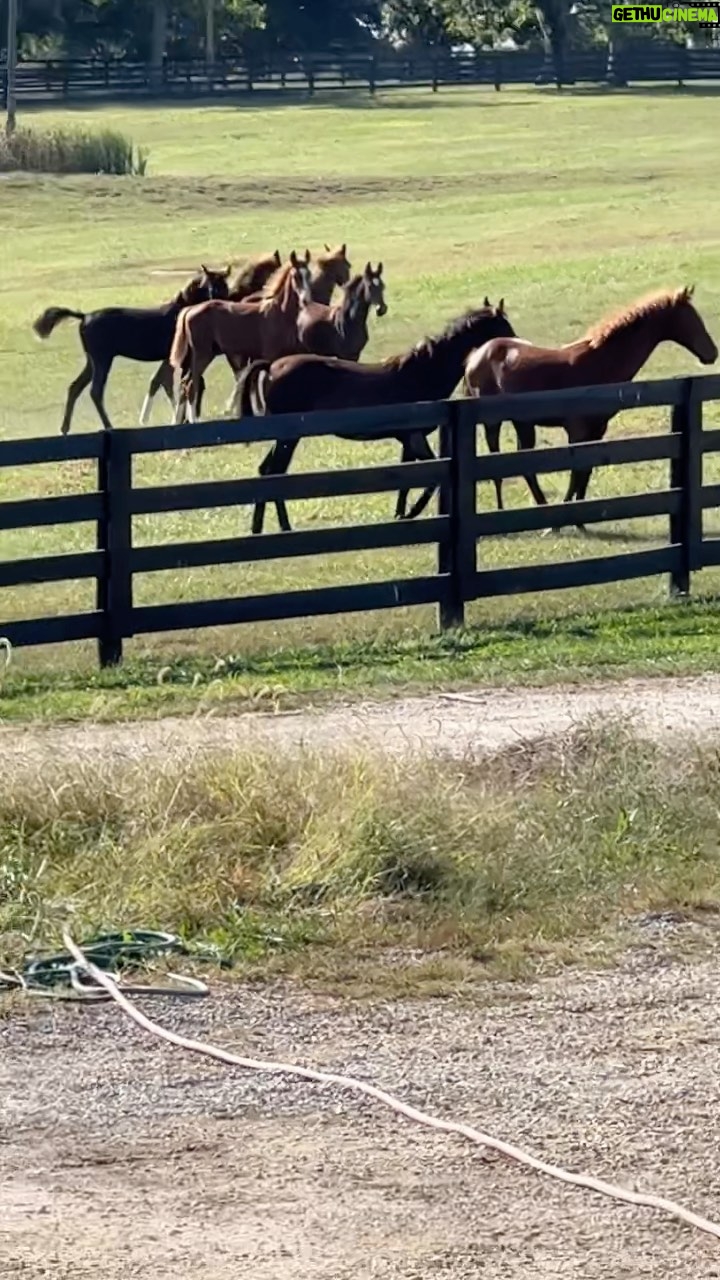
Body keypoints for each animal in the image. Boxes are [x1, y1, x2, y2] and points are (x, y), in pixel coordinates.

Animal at [33, 266, 232, 436]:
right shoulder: (175, 358)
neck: (179, 314)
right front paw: (179, 418)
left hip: (92, 361)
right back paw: (109, 426)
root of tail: (84, 316)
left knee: (75, 388)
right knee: (95, 391)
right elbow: (170, 382)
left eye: (226, 286)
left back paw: (64, 429)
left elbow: (173, 382)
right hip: (102, 360)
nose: (225, 307)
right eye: (212, 287)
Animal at [169, 250, 314, 424]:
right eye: (296, 276)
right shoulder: (267, 356)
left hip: (201, 355)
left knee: (185, 383)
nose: (306, 300)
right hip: (202, 354)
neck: (279, 312)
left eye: (310, 275)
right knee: (191, 385)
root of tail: (189, 310)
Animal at [233, 301, 514, 535]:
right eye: (503, 326)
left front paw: (400, 514)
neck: (421, 373)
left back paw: (259, 528)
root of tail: (272, 367)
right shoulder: (414, 438)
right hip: (288, 438)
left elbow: (408, 480)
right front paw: (410, 513)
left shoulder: (408, 441)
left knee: (266, 472)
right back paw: (283, 527)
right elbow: (430, 478)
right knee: (275, 473)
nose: (515, 344)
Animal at [464, 285, 719, 520]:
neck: (599, 363)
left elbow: (586, 470)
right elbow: (577, 469)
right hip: (493, 421)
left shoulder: (598, 429)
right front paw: (568, 512)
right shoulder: (577, 429)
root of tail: (476, 355)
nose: (712, 353)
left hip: (523, 423)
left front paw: (581, 517)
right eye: (691, 319)